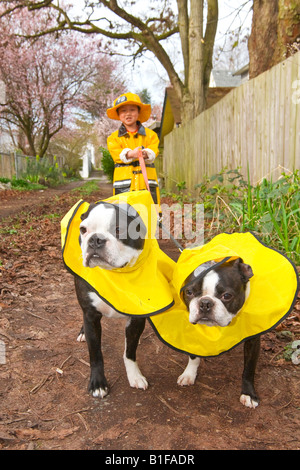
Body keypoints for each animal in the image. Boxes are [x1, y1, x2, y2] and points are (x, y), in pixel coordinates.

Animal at [74, 204, 148, 398]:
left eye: (119, 230)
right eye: (83, 230)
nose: (95, 239)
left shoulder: (137, 319)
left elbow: (130, 351)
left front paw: (134, 375)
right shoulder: (91, 315)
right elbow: (95, 353)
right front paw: (98, 383)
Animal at [176, 258, 260, 410]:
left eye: (226, 296)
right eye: (189, 292)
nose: (205, 303)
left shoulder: (254, 339)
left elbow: (249, 368)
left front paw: (248, 394)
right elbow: (193, 356)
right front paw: (189, 374)